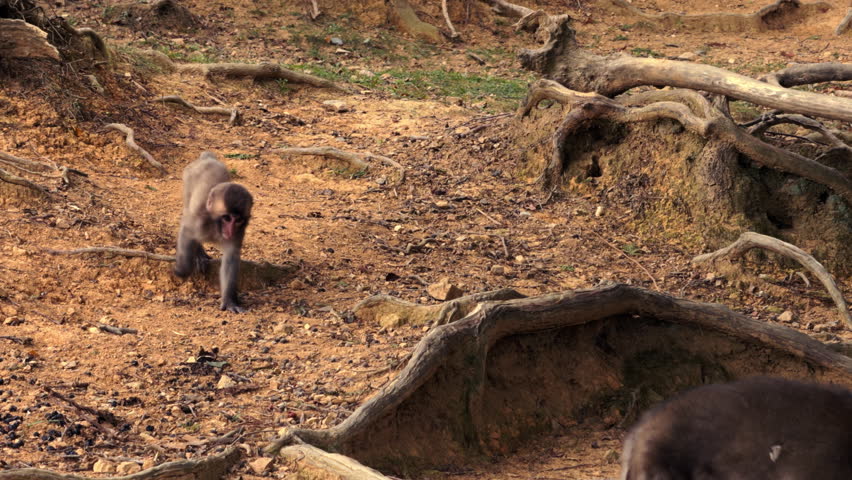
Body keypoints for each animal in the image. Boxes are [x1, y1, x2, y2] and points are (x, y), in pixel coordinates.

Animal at [175, 152, 253, 313]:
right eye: (227, 218)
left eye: (238, 220)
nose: (230, 230)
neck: (216, 226)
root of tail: (207, 158)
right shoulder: (199, 221)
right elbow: (187, 230)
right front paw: (183, 269)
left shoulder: (239, 232)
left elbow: (231, 256)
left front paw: (229, 301)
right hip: (188, 179)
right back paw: (198, 254)